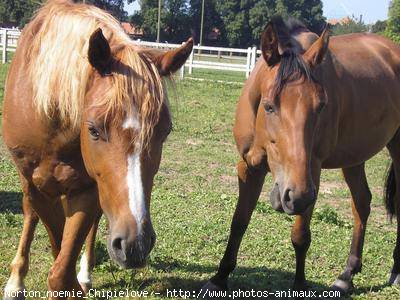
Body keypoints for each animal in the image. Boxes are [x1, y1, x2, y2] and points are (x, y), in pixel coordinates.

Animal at [1, 1, 192, 298]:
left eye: (166, 131)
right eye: (93, 129)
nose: (135, 244)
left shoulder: (87, 189)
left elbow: (61, 270)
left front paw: (77, 280)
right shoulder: (40, 190)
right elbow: (56, 248)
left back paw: (86, 273)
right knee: (29, 214)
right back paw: (16, 280)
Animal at [205, 15, 400, 292]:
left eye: (321, 106)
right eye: (269, 106)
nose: (293, 196)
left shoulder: (311, 174)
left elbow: (300, 236)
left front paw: (299, 284)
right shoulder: (249, 166)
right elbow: (239, 222)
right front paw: (219, 277)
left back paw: (395, 271)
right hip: (354, 159)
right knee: (361, 203)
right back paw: (347, 275)